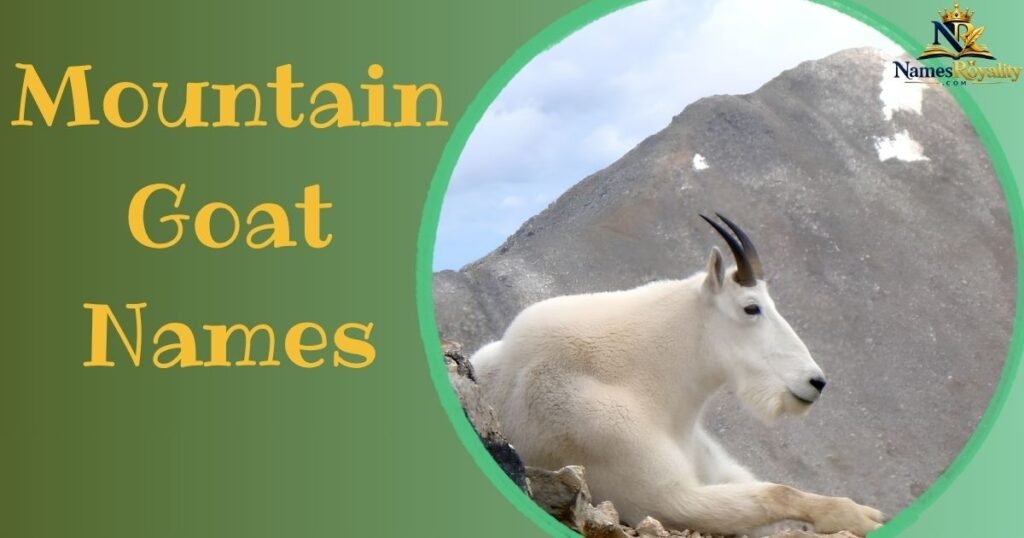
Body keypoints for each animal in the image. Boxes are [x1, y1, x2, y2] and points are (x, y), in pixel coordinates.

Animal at [470, 214, 884, 536]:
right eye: (751, 308)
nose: (816, 382)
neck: (646, 381)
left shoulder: (718, 469)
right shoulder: (664, 498)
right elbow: (777, 493)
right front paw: (864, 518)